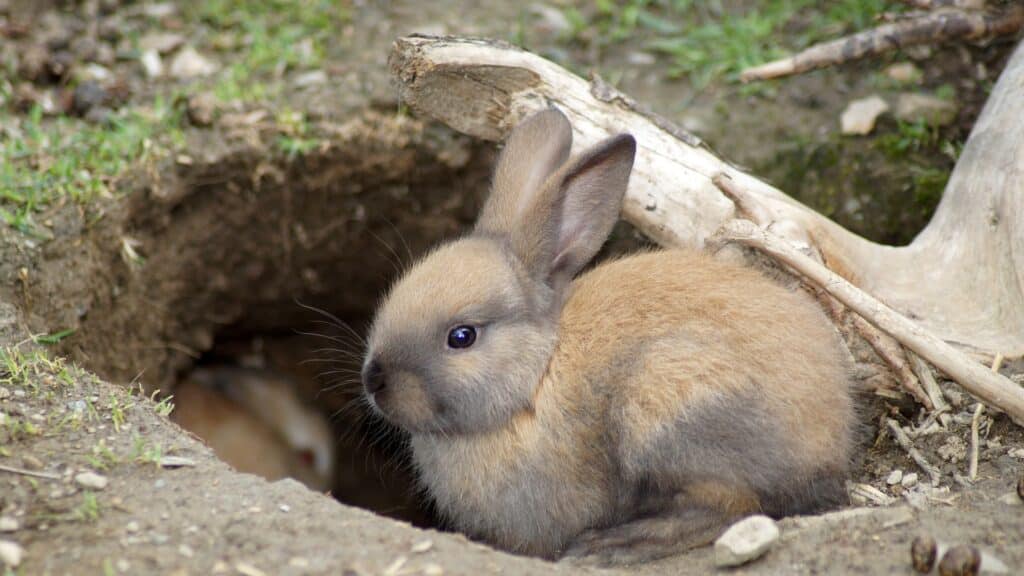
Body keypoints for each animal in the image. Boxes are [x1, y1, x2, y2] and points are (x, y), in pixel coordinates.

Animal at [360, 106, 856, 561]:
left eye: (462, 337)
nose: (375, 380)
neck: (534, 380)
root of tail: (832, 440)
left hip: (668, 401)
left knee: (732, 506)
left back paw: (613, 544)